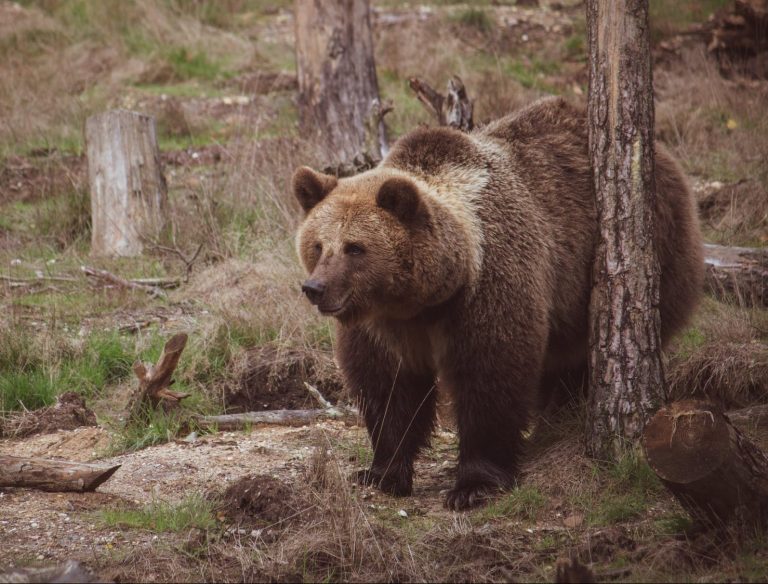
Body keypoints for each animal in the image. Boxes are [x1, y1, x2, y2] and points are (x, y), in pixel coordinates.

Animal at [292, 98, 704, 508]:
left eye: (355, 247)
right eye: (318, 245)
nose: (315, 288)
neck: (425, 300)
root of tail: (665, 158)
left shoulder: (489, 287)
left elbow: (491, 375)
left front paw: (474, 484)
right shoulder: (384, 326)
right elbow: (388, 388)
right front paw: (381, 472)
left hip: (644, 253)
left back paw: (561, 413)